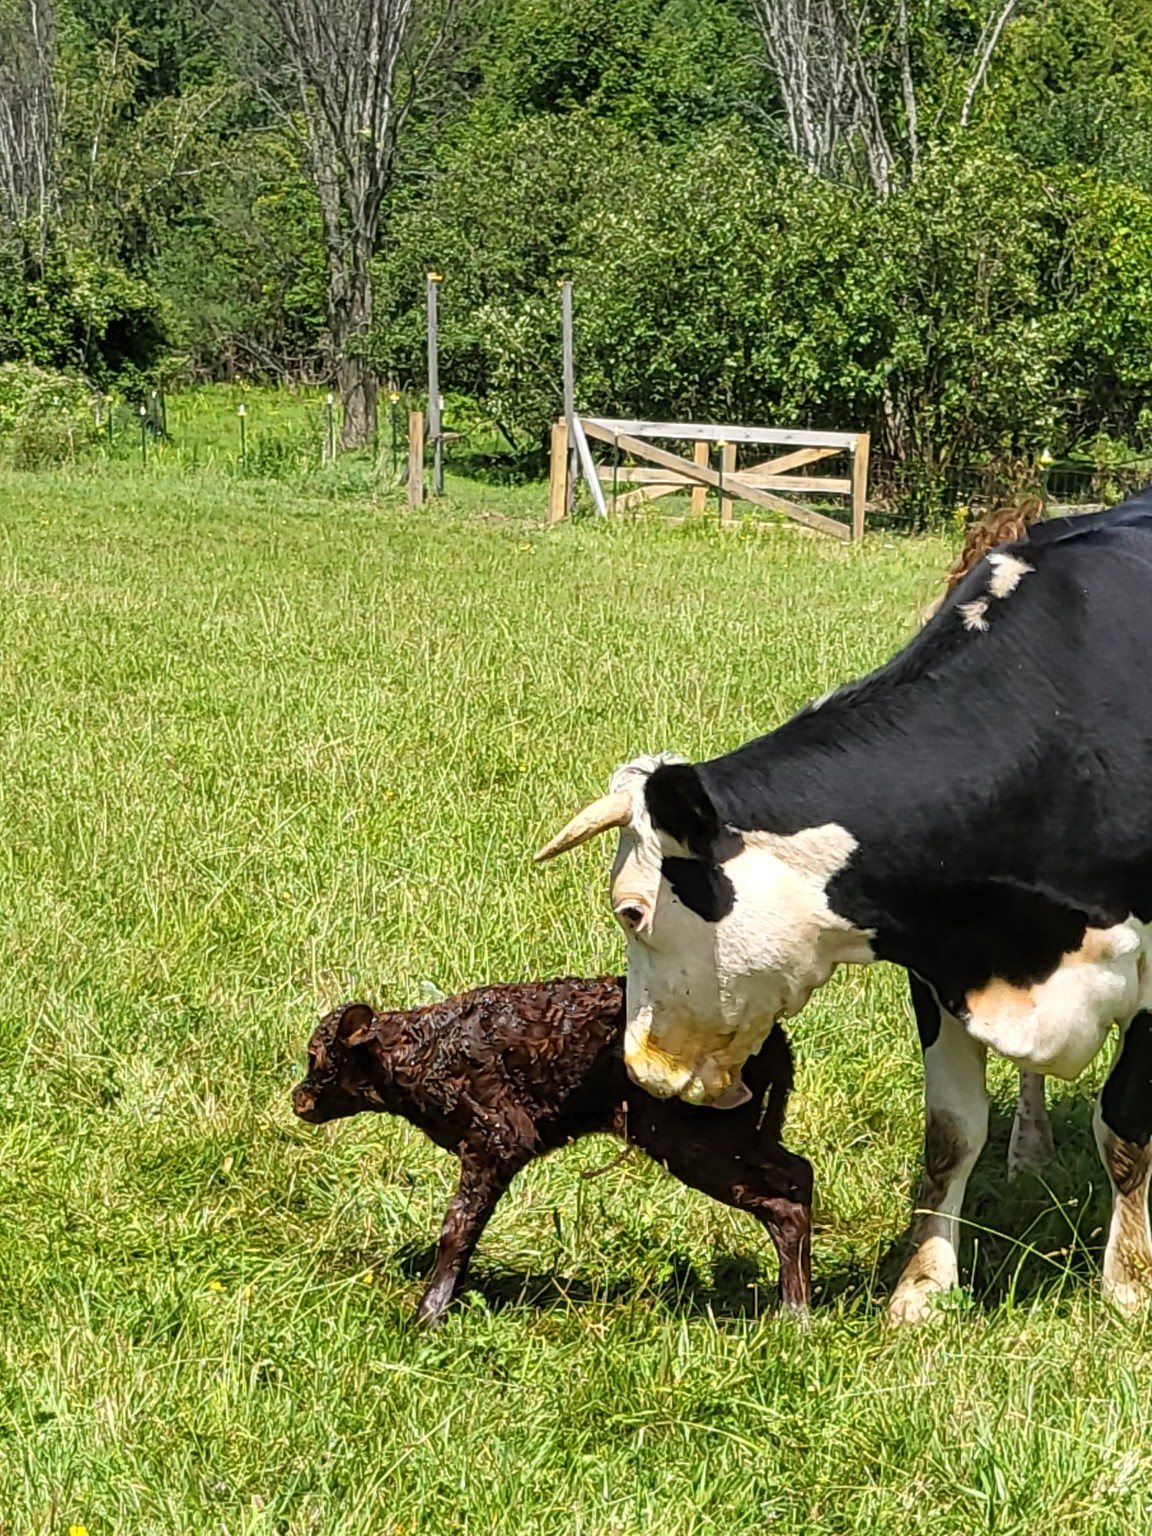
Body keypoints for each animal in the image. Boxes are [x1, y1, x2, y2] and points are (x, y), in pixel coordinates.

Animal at [536, 490, 1152, 1321]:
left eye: (630, 913)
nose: (642, 1069)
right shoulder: (941, 964)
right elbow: (950, 1134)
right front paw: (922, 1289)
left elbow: (1125, 1131)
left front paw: (1127, 1286)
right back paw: (1029, 1150)